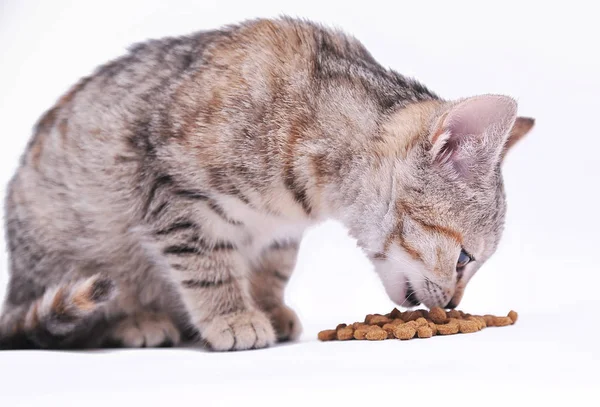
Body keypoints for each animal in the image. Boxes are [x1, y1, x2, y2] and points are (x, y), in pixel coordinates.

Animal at [0, 17, 536, 350]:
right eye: (464, 259)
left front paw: (269, 307)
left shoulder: (281, 231)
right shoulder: (176, 193)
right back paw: (138, 321)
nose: (454, 305)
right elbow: (209, 264)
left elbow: (273, 269)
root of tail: (15, 290)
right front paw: (233, 314)